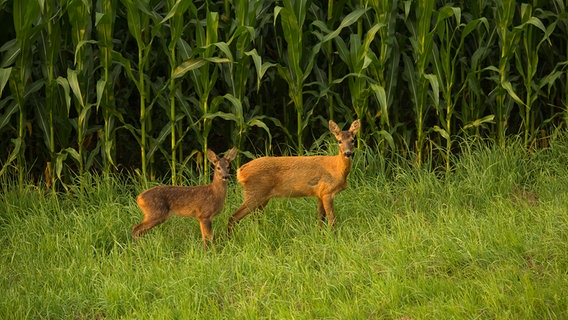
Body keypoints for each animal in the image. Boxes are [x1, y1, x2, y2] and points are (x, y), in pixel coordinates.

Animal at [226, 120, 360, 232]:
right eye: (339, 141)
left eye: (353, 140)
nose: (348, 153)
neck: (337, 169)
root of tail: (240, 171)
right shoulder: (327, 192)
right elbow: (332, 221)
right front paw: (334, 237)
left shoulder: (320, 193)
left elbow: (320, 218)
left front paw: (320, 234)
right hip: (255, 193)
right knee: (233, 217)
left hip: (262, 197)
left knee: (254, 218)